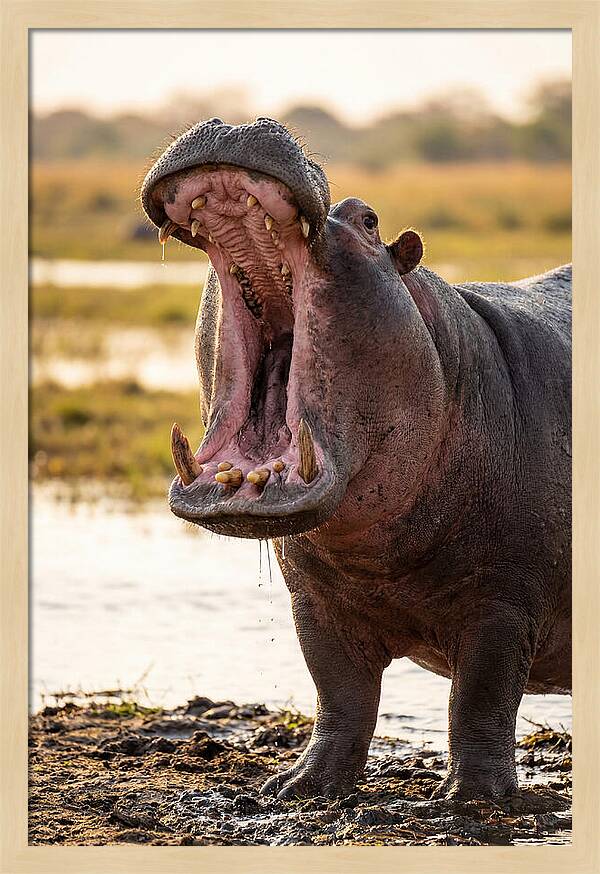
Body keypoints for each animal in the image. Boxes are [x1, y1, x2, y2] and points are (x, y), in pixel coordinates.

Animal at [141, 118, 571, 801]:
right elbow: (340, 691)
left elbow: (482, 698)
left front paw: (474, 799)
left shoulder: (505, 604)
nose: (238, 122)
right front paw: (299, 786)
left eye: (368, 219)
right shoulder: (314, 602)